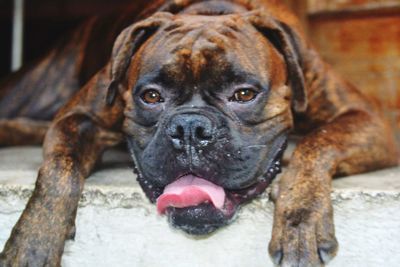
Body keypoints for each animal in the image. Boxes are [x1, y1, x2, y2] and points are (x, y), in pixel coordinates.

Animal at [0, 0, 398, 267]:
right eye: (151, 97)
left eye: (244, 94)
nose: (190, 128)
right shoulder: (76, 116)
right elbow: (58, 170)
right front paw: (33, 240)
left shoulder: (367, 119)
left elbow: (318, 145)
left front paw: (300, 218)